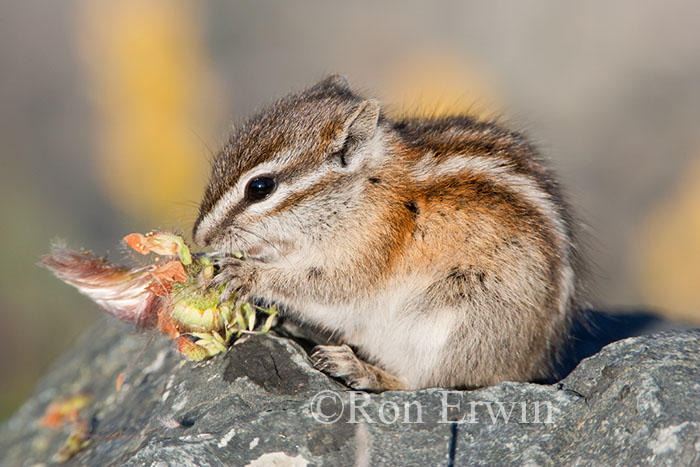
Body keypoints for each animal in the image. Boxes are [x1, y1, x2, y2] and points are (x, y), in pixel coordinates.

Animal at [192, 75, 584, 391]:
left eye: (260, 187)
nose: (200, 239)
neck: (364, 190)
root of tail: (529, 364)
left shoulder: (369, 249)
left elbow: (325, 285)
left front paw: (243, 273)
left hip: (459, 323)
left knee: (420, 382)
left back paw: (357, 368)